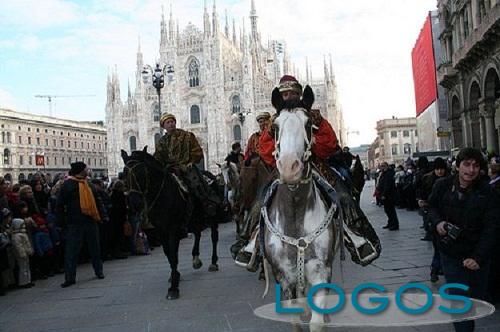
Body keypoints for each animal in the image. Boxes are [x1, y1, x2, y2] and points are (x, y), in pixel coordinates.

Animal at [121, 147, 221, 300]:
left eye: (142, 172)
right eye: (124, 174)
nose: (134, 203)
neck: (162, 195)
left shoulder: (173, 229)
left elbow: (173, 255)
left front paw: (174, 288)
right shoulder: (161, 230)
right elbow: (168, 253)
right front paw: (176, 276)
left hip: (212, 215)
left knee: (214, 237)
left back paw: (214, 263)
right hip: (194, 218)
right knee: (197, 233)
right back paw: (196, 259)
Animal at [262, 87, 340, 330]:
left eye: (309, 124)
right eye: (274, 128)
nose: (289, 168)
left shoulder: (321, 270)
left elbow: (317, 322)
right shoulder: (284, 276)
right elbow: (294, 320)